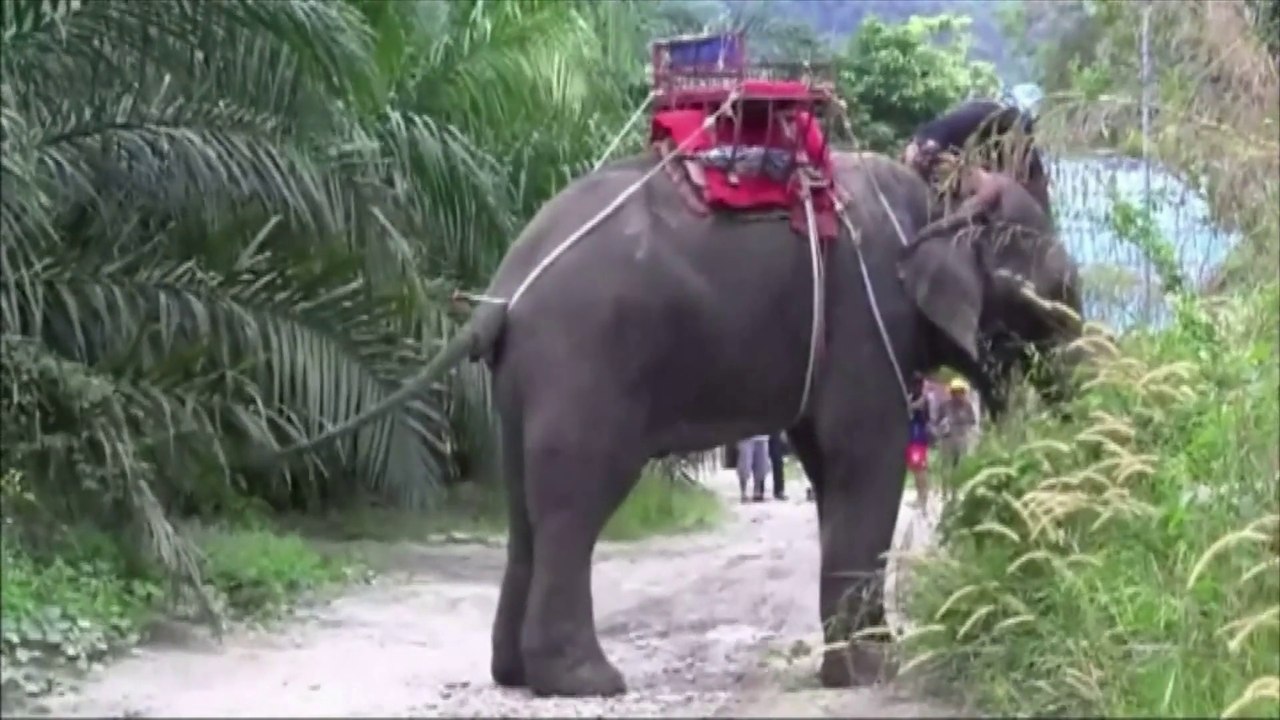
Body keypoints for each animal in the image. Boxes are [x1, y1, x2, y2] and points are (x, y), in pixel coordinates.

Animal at [276, 148, 1083, 697]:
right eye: (1057, 291)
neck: (937, 194)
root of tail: (501, 294)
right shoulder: (865, 318)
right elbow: (866, 464)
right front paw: (872, 672)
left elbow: (832, 472)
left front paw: (864, 665)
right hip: (585, 362)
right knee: (575, 503)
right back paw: (588, 681)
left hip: (521, 382)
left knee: (524, 508)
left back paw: (516, 675)